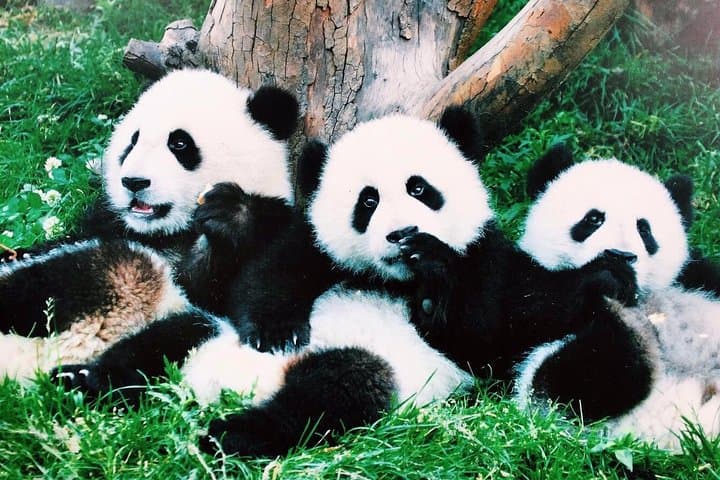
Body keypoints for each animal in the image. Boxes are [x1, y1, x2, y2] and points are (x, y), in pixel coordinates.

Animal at [0, 68, 300, 380]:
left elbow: (235, 284)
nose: (134, 182)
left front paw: (227, 217)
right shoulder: (108, 222)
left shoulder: (271, 222)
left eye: (179, 143)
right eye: (132, 141)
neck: (164, 232)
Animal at [52, 109, 639, 457]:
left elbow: (486, 332)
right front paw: (275, 328)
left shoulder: (485, 257)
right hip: (205, 333)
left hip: (363, 373)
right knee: (164, 341)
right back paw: (85, 380)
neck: (389, 279)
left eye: (420, 188)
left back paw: (231, 433)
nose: (401, 235)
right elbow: (260, 278)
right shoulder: (311, 242)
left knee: (332, 390)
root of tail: (214, 386)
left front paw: (435, 274)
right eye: (368, 201)